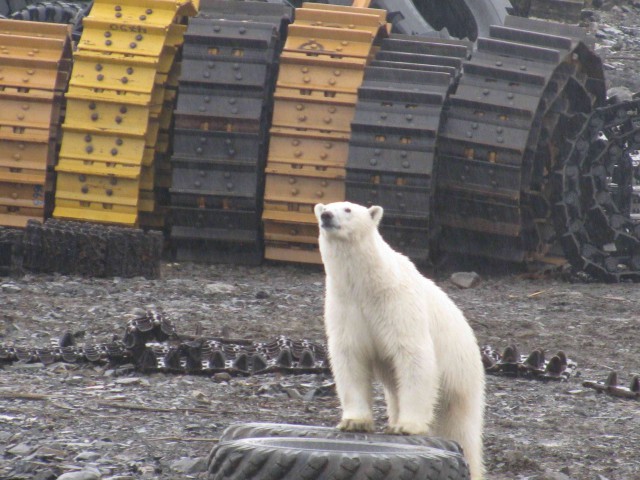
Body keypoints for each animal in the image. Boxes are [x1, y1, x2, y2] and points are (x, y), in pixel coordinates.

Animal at [314, 201, 486, 480]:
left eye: (348, 209)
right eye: (325, 207)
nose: (327, 216)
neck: (366, 284)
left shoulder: (397, 303)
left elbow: (413, 354)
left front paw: (407, 427)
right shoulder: (345, 305)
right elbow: (350, 356)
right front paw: (354, 421)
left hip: (462, 374)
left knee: (461, 427)